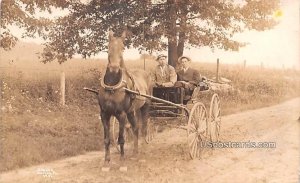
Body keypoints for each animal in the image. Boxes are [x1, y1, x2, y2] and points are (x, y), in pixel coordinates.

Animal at [96, 30, 152, 165]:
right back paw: (135, 151)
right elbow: (107, 139)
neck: (112, 87)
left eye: (122, 48)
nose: (114, 68)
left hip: (145, 106)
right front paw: (107, 159)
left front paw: (122, 158)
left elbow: (121, 138)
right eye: (109, 47)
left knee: (143, 127)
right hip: (132, 111)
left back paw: (142, 148)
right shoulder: (104, 114)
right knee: (135, 128)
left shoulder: (121, 114)